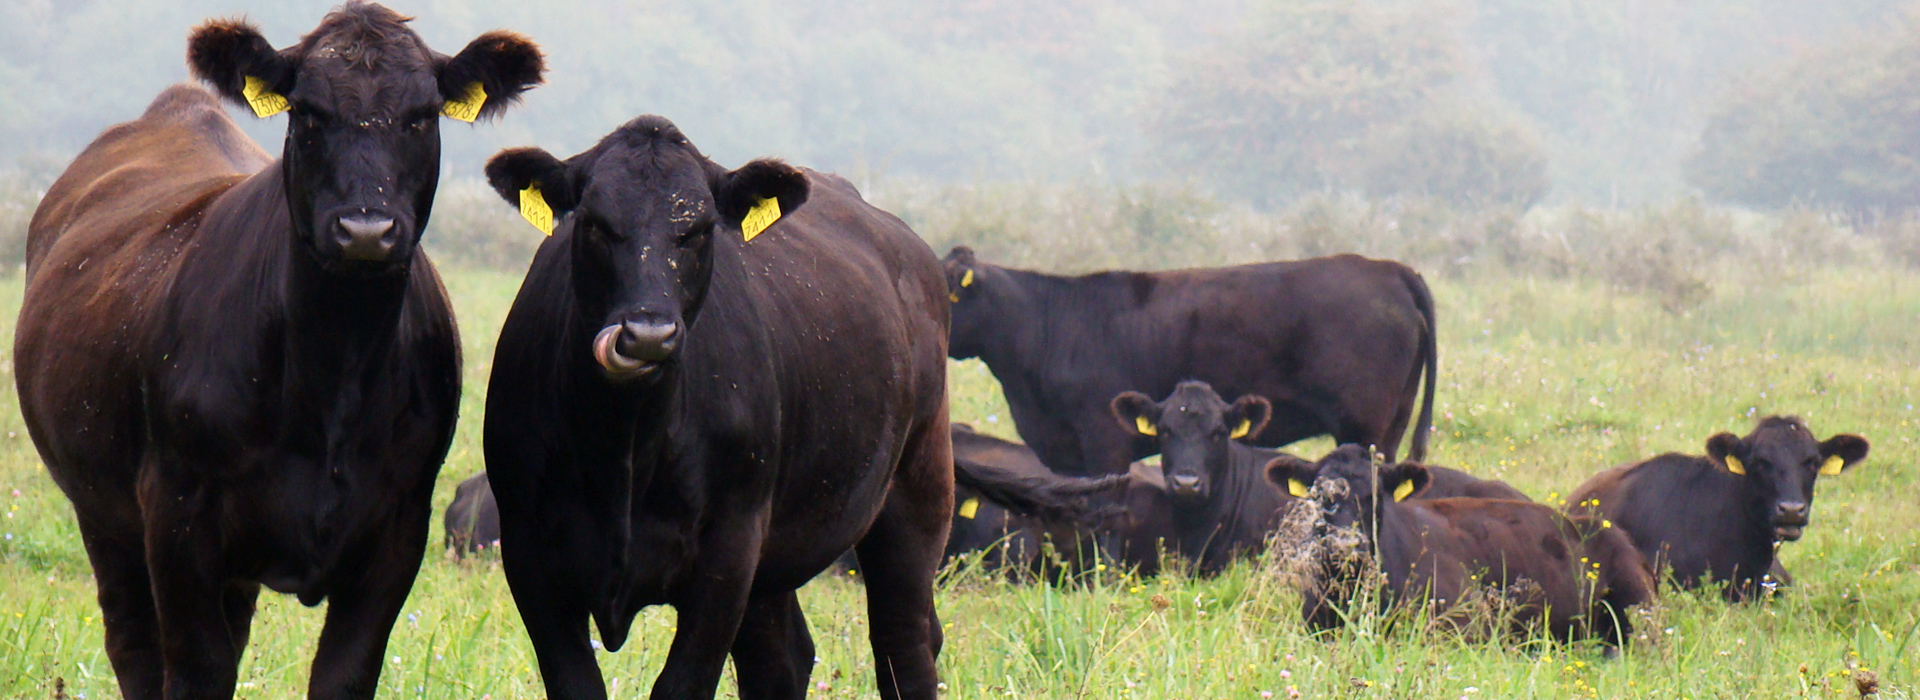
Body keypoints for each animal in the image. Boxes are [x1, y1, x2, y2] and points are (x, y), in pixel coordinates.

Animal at [18, 6, 545, 698]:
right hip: (103, 514)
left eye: (422, 115)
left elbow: (343, 672)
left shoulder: (398, 528)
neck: (335, 372)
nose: (366, 229)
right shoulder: (179, 516)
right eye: (308, 112)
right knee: (133, 644)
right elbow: (198, 668)